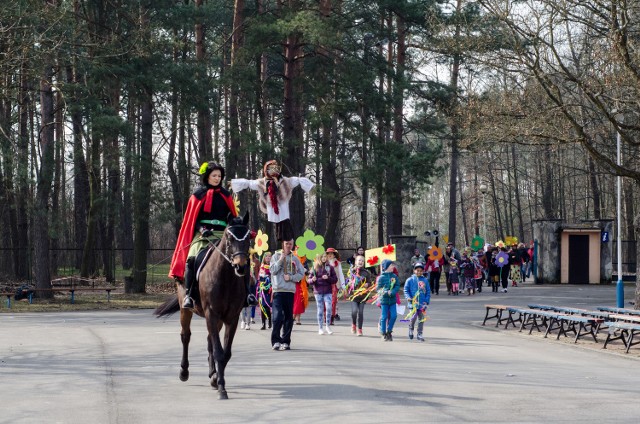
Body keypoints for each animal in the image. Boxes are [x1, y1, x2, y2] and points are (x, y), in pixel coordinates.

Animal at [155, 214, 252, 400]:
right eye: (230, 238)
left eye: (248, 237)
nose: (241, 266)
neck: (226, 278)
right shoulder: (211, 314)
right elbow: (219, 351)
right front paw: (221, 387)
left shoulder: (231, 318)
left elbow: (224, 352)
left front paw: (217, 380)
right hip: (186, 310)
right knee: (186, 336)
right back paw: (184, 371)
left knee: (209, 342)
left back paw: (212, 373)